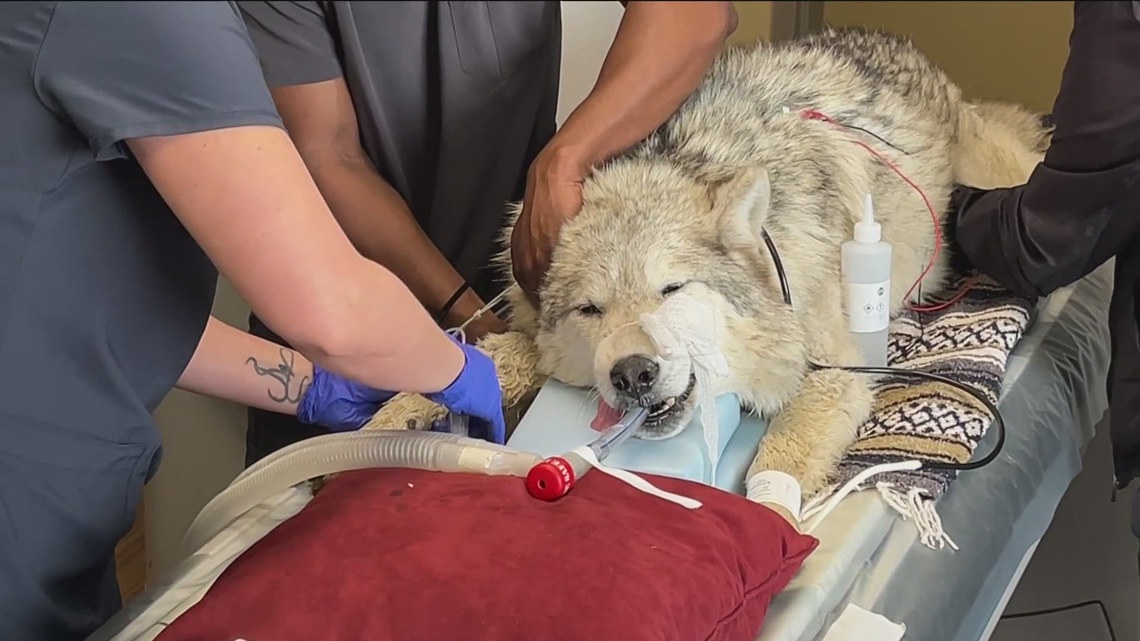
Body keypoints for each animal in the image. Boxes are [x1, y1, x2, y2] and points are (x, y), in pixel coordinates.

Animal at [364, 27, 1050, 520]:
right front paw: (397, 414)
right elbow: (487, 359)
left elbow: (777, 460)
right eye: (591, 311)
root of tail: (901, 44)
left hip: (998, 177)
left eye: (671, 289)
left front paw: (771, 522)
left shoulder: (837, 374)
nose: (634, 374)